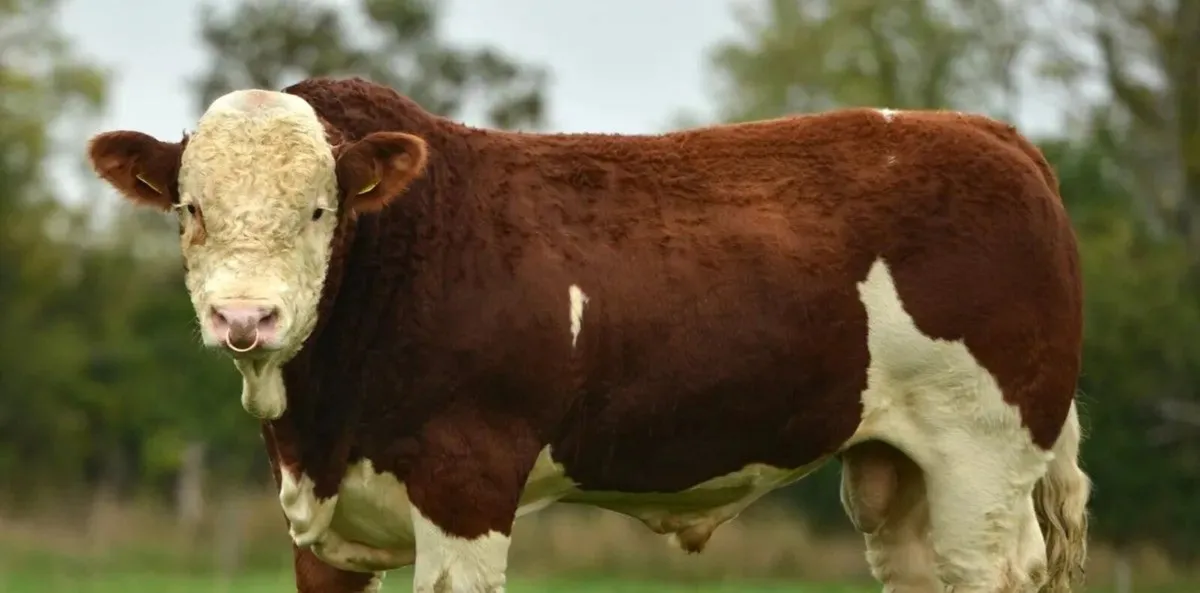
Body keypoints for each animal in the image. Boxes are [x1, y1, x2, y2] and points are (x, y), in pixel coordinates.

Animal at [86, 77, 1090, 593]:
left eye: (319, 210)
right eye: (190, 208)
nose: (244, 318)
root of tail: (988, 131)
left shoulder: (466, 483)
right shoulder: (323, 530)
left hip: (984, 453)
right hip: (897, 467)